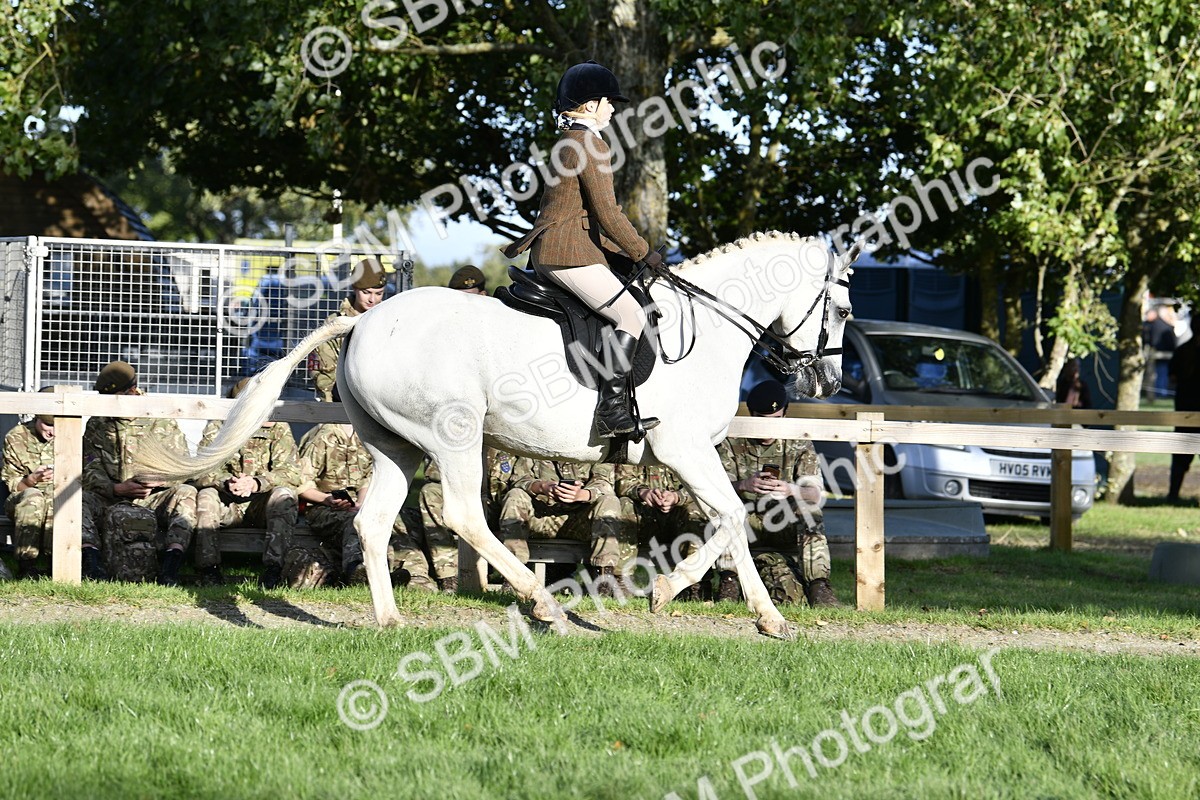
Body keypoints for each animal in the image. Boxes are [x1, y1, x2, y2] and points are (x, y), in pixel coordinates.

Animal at [137, 232, 858, 639]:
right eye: (845, 309)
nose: (825, 380)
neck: (705, 326)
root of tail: (364, 322)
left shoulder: (689, 455)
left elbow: (727, 520)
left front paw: (718, 604)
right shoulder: (683, 448)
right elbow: (733, 517)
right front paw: (707, 602)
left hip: (395, 446)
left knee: (373, 521)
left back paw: (391, 619)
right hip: (453, 437)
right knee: (463, 516)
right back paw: (546, 608)